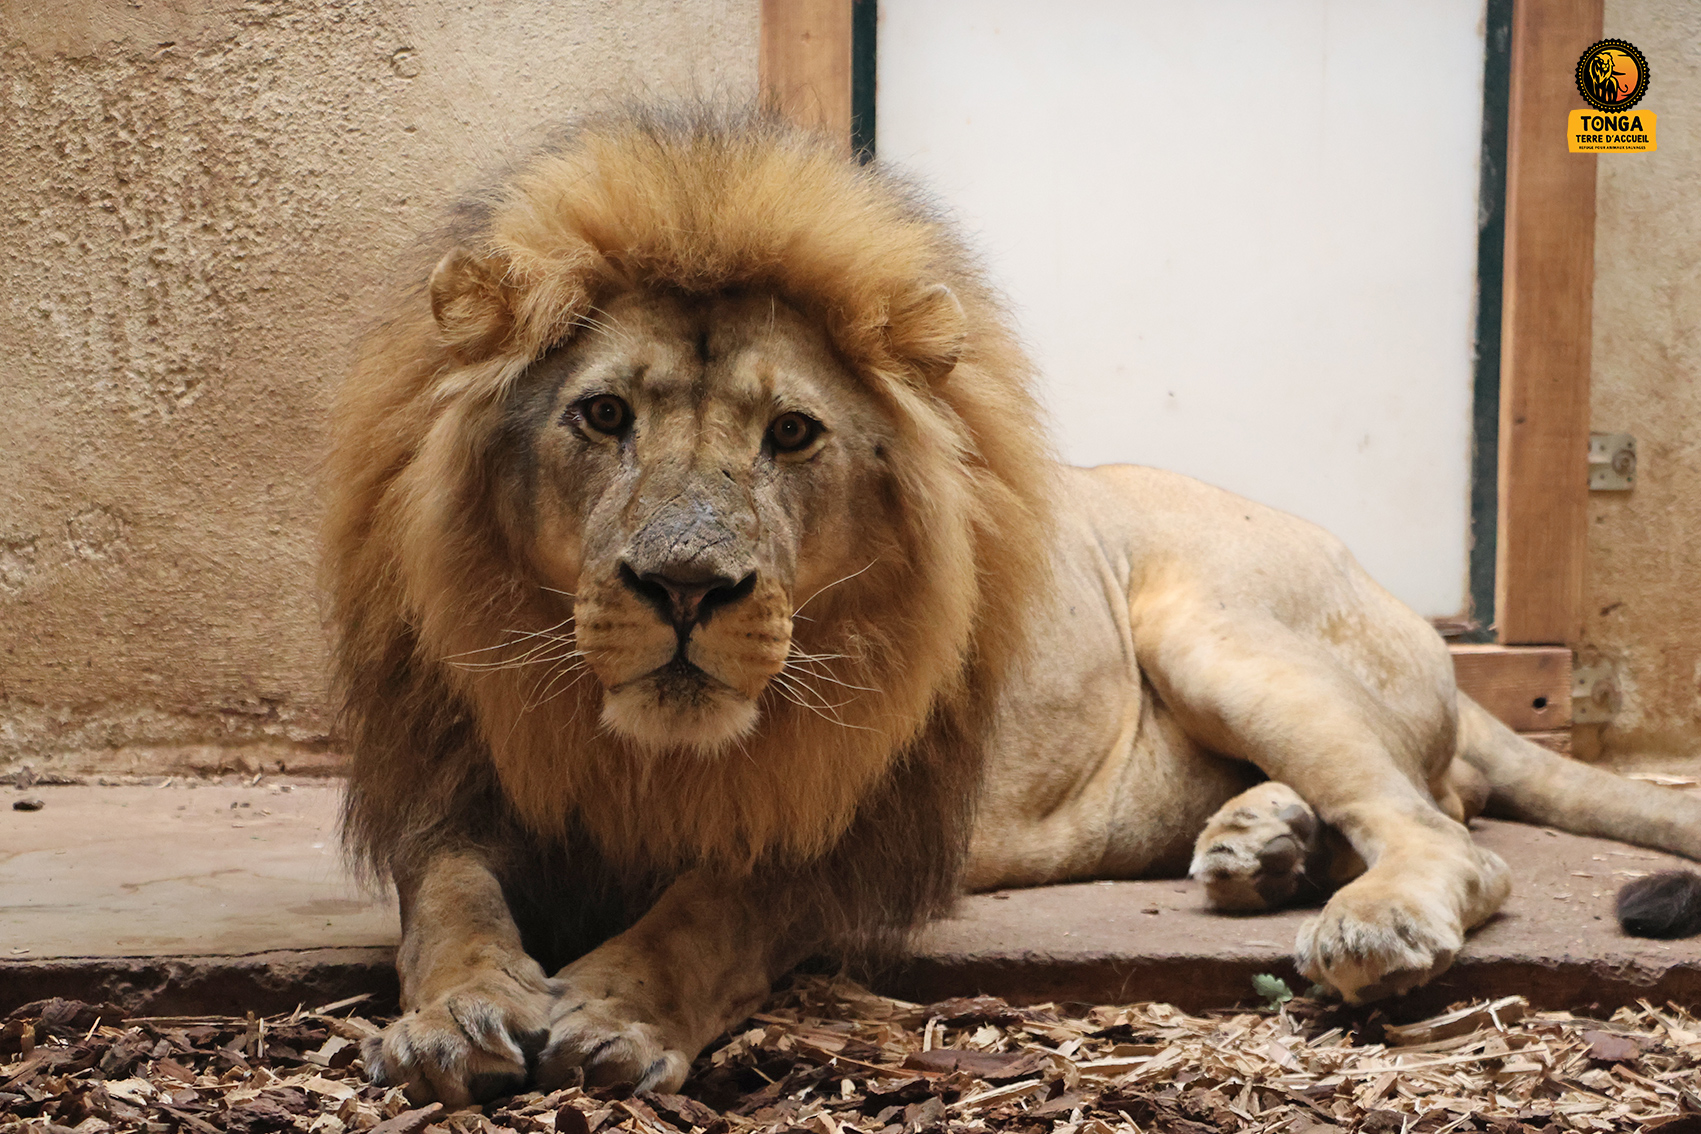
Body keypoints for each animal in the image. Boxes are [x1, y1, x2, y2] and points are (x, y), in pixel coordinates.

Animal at [323, 104, 1701, 1105]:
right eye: (603, 415)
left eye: (792, 434)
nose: (686, 587)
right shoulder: (463, 788)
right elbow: (448, 901)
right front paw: (455, 1015)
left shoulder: (860, 833)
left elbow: (715, 909)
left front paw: (612, 1008)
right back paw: (1261, 845)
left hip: (1214, 624)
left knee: (1449, 835)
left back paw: (1365, 912)